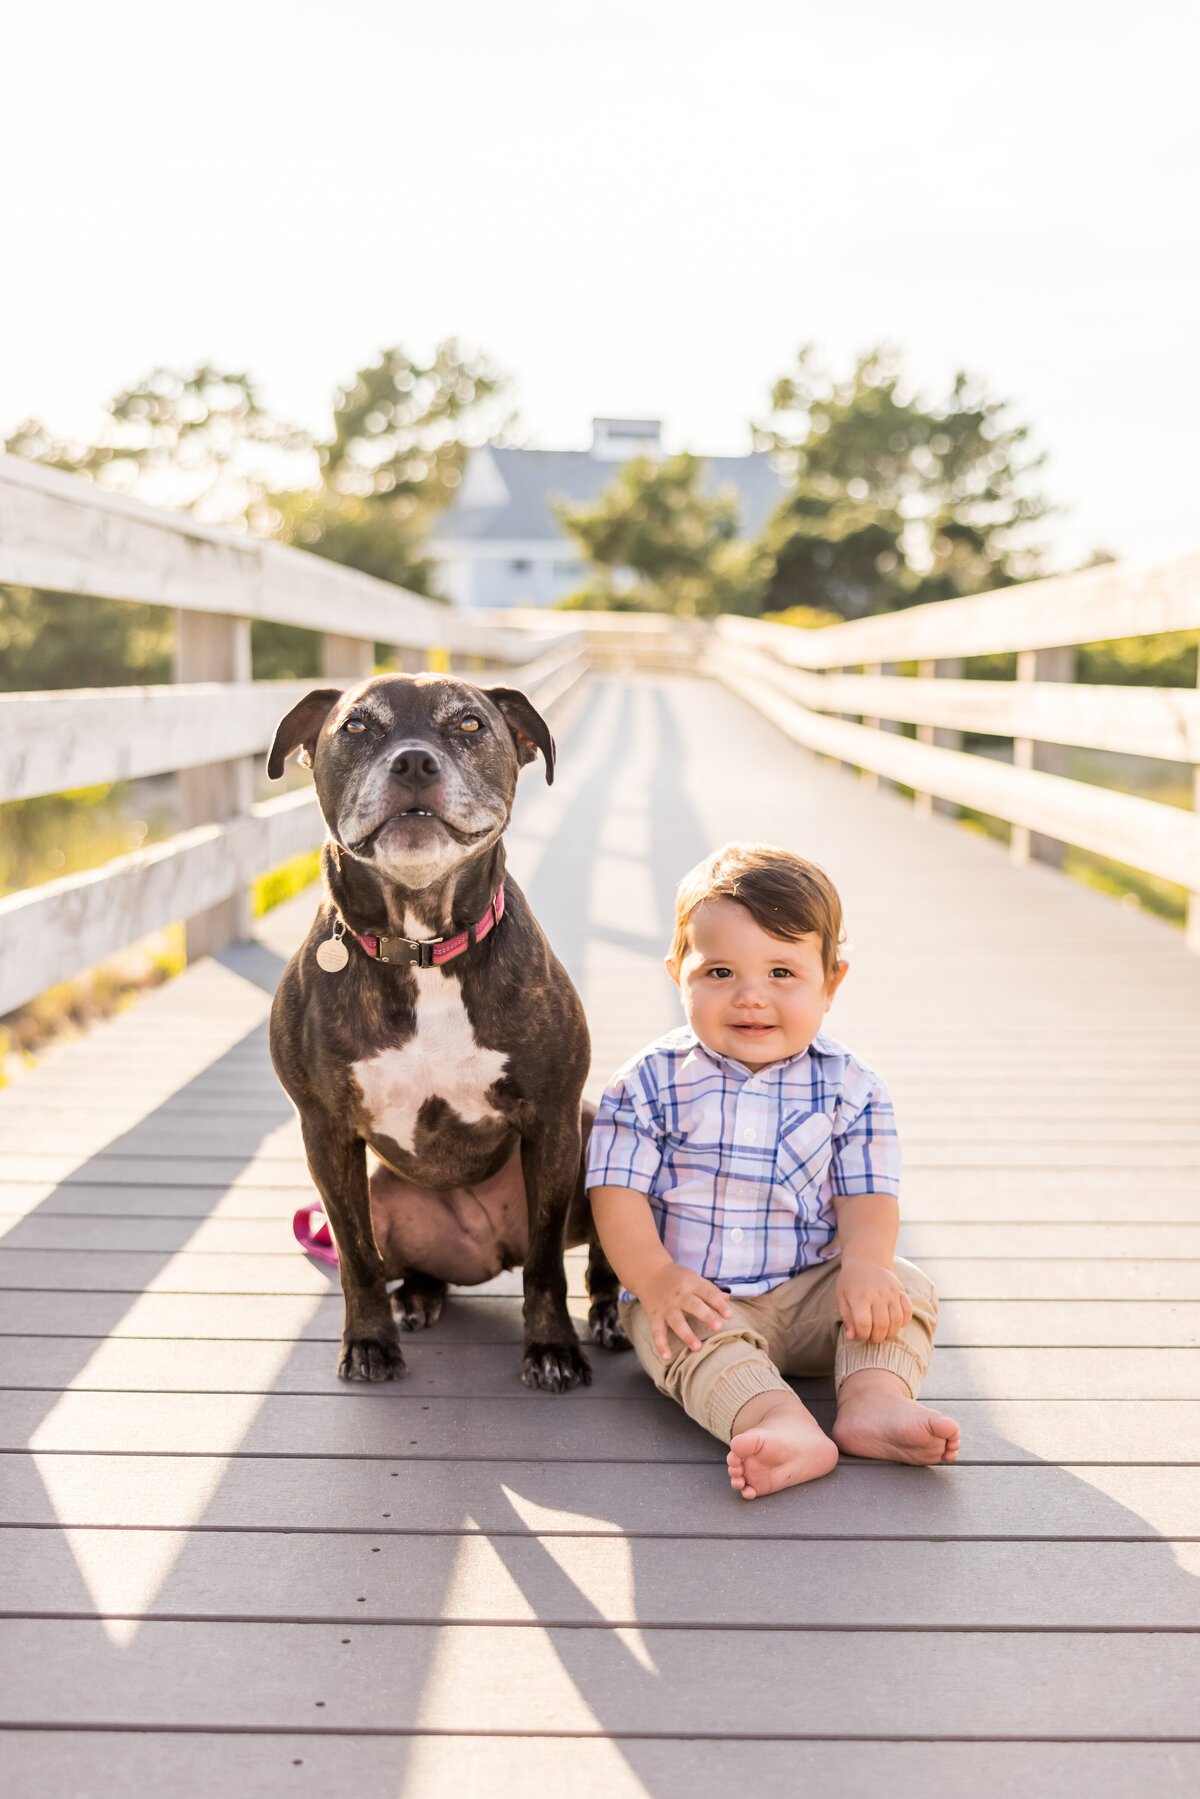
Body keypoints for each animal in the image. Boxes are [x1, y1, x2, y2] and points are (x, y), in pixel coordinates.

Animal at [264, 676, 629, 1388]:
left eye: (468, 724)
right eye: (355, 727)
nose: (413, 762)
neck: (422, 946)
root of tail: (494, 1247)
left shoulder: (552, 1121)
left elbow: (547, 1263)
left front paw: (552, 1347)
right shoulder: (325, 1132)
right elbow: (355, 1258)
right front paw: (369, 1342)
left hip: (594, 1132)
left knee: (591, 1259)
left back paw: (606, 1314)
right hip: (384, 1192)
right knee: (400, 1263)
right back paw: (418, 1296)